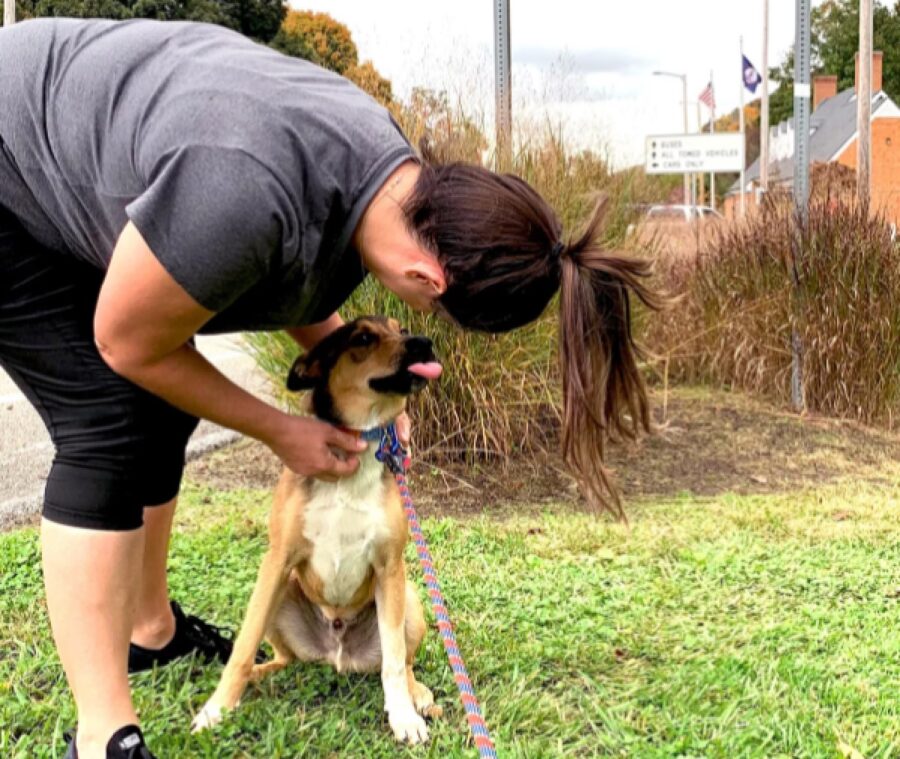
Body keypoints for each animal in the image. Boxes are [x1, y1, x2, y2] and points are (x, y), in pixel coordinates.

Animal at [193, 318, 442, 744]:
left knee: (402, 662)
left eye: (400, 327)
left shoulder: (390, 565)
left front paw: (404, 717)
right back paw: (257, 675)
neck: (361, 441)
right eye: (362, 338)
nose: (424, 343)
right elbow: (243, 647)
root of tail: (336, 654)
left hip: (407, 597)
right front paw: (216, 709)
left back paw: (418, 695)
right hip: (281, 594)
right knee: (283, 658)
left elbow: (393, 662)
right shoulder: (277, 560)